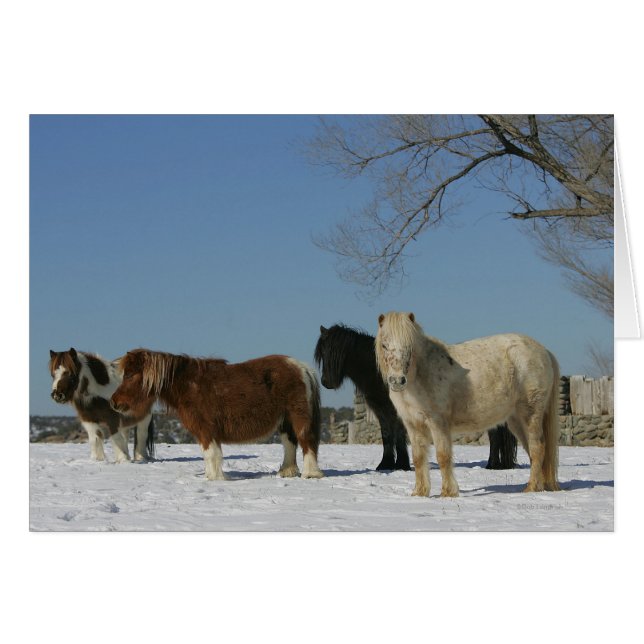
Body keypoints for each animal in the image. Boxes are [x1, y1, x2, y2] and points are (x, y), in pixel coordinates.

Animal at [110, 349, 324, 481]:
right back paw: (287, 472)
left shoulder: (206, 430)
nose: (114, 403)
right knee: (290, 444)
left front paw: (214, 478)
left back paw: (310, 474)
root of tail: (302, 367)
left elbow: (211, 453)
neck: (189, 386)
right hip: (285, 421)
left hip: (298, 417)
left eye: (130, 375)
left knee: (306, 442)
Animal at [315, 324, 517, 471]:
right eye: (323, 353)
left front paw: (401, 465)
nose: (326, 382)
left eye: (337, 352)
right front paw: (385, 465)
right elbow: (387, 434)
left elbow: (398, 434)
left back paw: (492, 465)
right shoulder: (381, 409)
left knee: (494, 435)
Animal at [375, 312, 560, 497]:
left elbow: (443, 456)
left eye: (409, 346)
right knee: (533, 451)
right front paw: (419, 493)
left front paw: (448, 492)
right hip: (516, 420)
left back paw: (531, 488)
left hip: (531, 414)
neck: (421, 374)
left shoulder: (438, 422)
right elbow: (419, 458)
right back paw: (538, 487)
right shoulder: (413, 425)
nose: (397, 381)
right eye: (384, 345)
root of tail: (543, 351)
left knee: (537, 448)